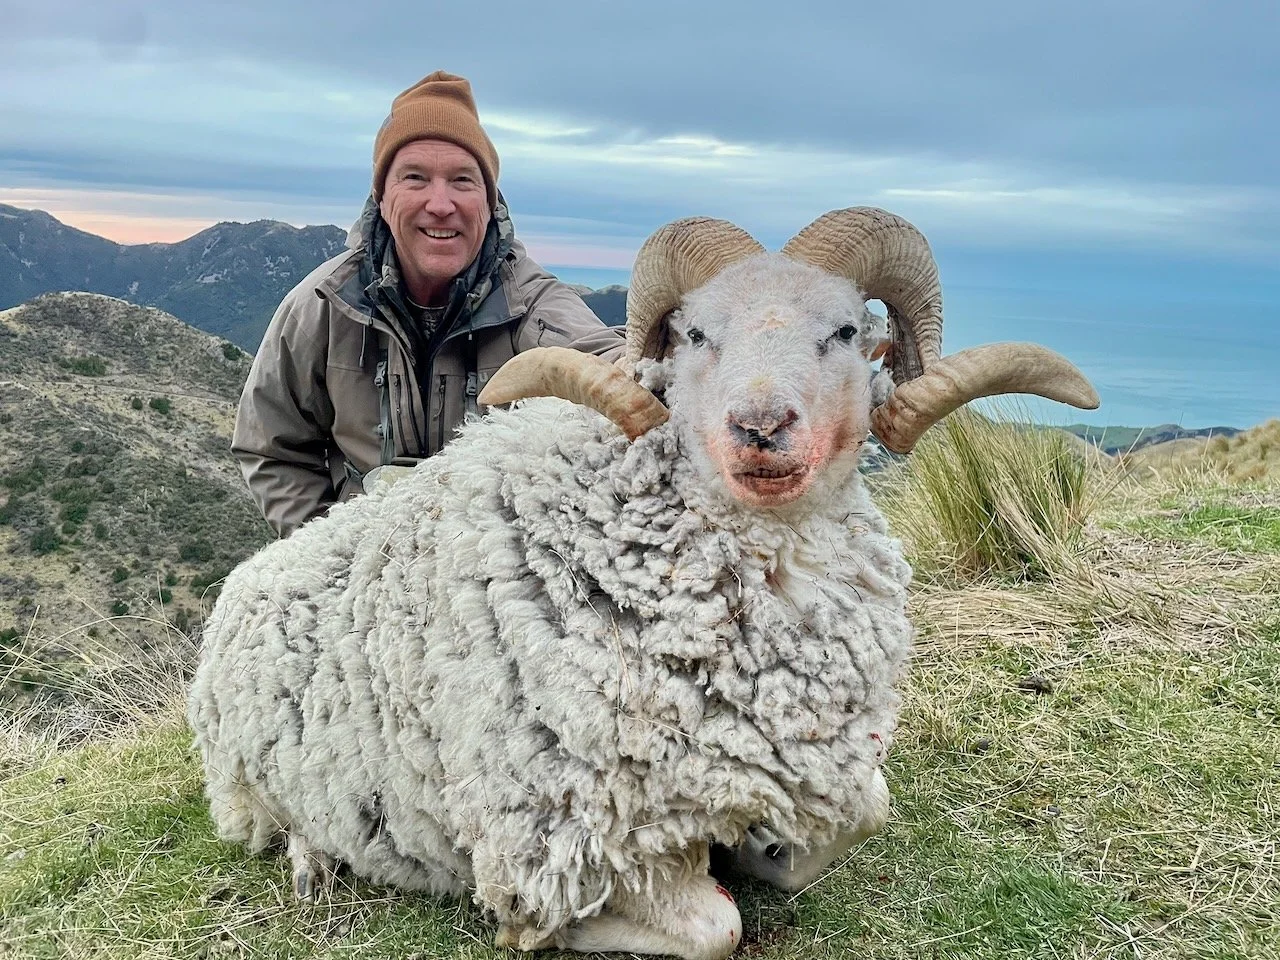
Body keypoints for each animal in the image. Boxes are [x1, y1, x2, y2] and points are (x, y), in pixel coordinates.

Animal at [188, 207, 1098, 960]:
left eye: (846, 330)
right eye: (694, 335)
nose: (759, 427)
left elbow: (862, 812)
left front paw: (769, 849)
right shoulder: (546, 841)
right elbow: (711, 928)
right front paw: (555, 929)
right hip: (251, 782)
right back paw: (312, 861)